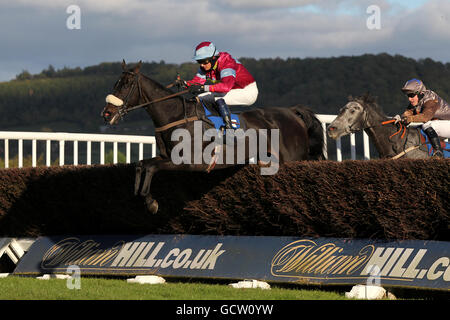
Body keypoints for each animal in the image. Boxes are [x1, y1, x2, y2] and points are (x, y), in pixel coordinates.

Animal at [103, 61, 324, 214]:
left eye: (126, 85)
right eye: (115, 84)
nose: (106, 113)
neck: (175, 116)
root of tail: (292, 112)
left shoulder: (187, 161)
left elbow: (151, 167)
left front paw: (151, 203)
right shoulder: (167, 157)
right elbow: (142, 164)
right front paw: (140, 196)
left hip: (294, 158)